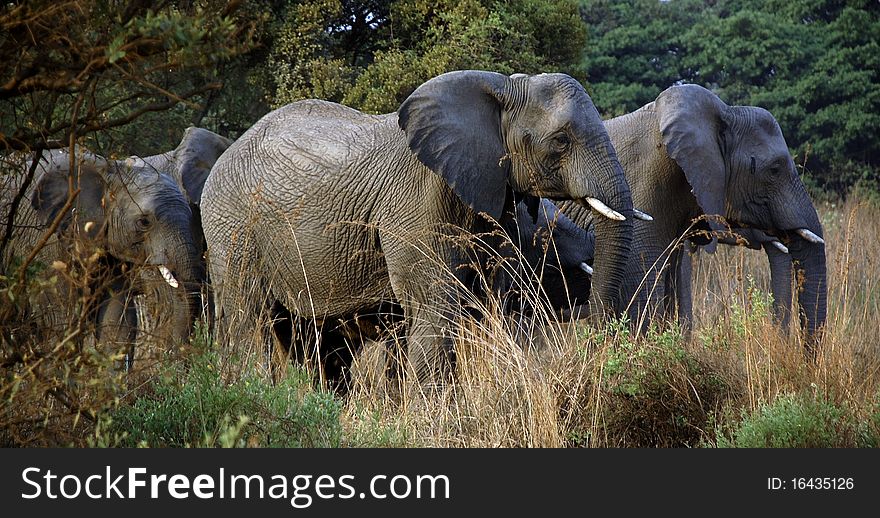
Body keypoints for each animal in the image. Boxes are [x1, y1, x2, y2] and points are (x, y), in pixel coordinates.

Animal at [204, 71, 636, 384]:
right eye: (561, 141)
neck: (501, 90)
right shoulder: (418, 201)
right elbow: (436, 305)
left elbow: (485, 303)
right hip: (232, 228)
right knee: (250, 319)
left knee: (314, 343)